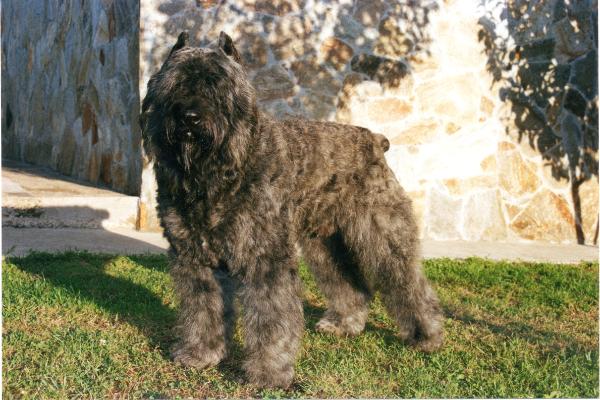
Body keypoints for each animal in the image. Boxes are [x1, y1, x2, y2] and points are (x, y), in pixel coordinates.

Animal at [138, 32, 442, 390]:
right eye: (173, 84)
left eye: (218, 86)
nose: (189, 117)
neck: (218, 175)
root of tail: (375, 140)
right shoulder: (195, 259)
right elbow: (202, 310)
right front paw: (201, 354)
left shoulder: (265, 260)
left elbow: (271, 321)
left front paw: (268, 374)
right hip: (326, 245)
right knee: (351, 285)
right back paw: (345, 324)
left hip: (383, 235)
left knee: (410, 284)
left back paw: (427, 335)